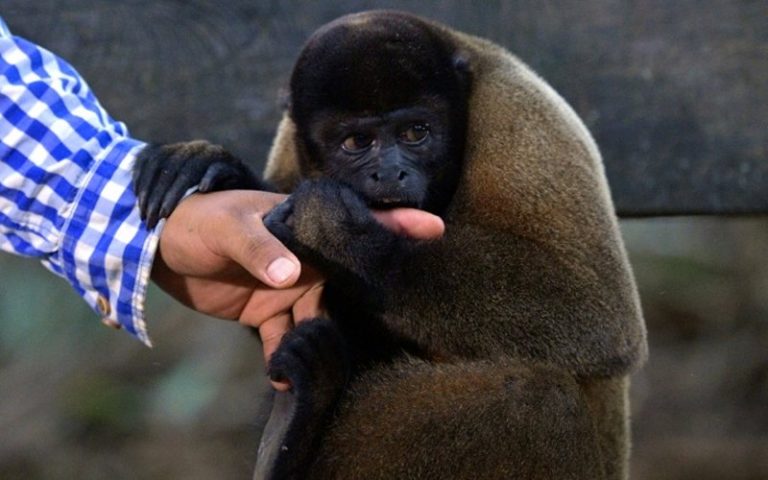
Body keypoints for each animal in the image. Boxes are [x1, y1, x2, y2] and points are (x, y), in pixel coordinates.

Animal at [133, 10, 647, 480]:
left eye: (415, 133)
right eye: (357, 141)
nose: (389, 173)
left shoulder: (522, 118)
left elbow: (596, 314)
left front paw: (336, 233)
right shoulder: (289, 142)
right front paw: (223, 174)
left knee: (533, 398)